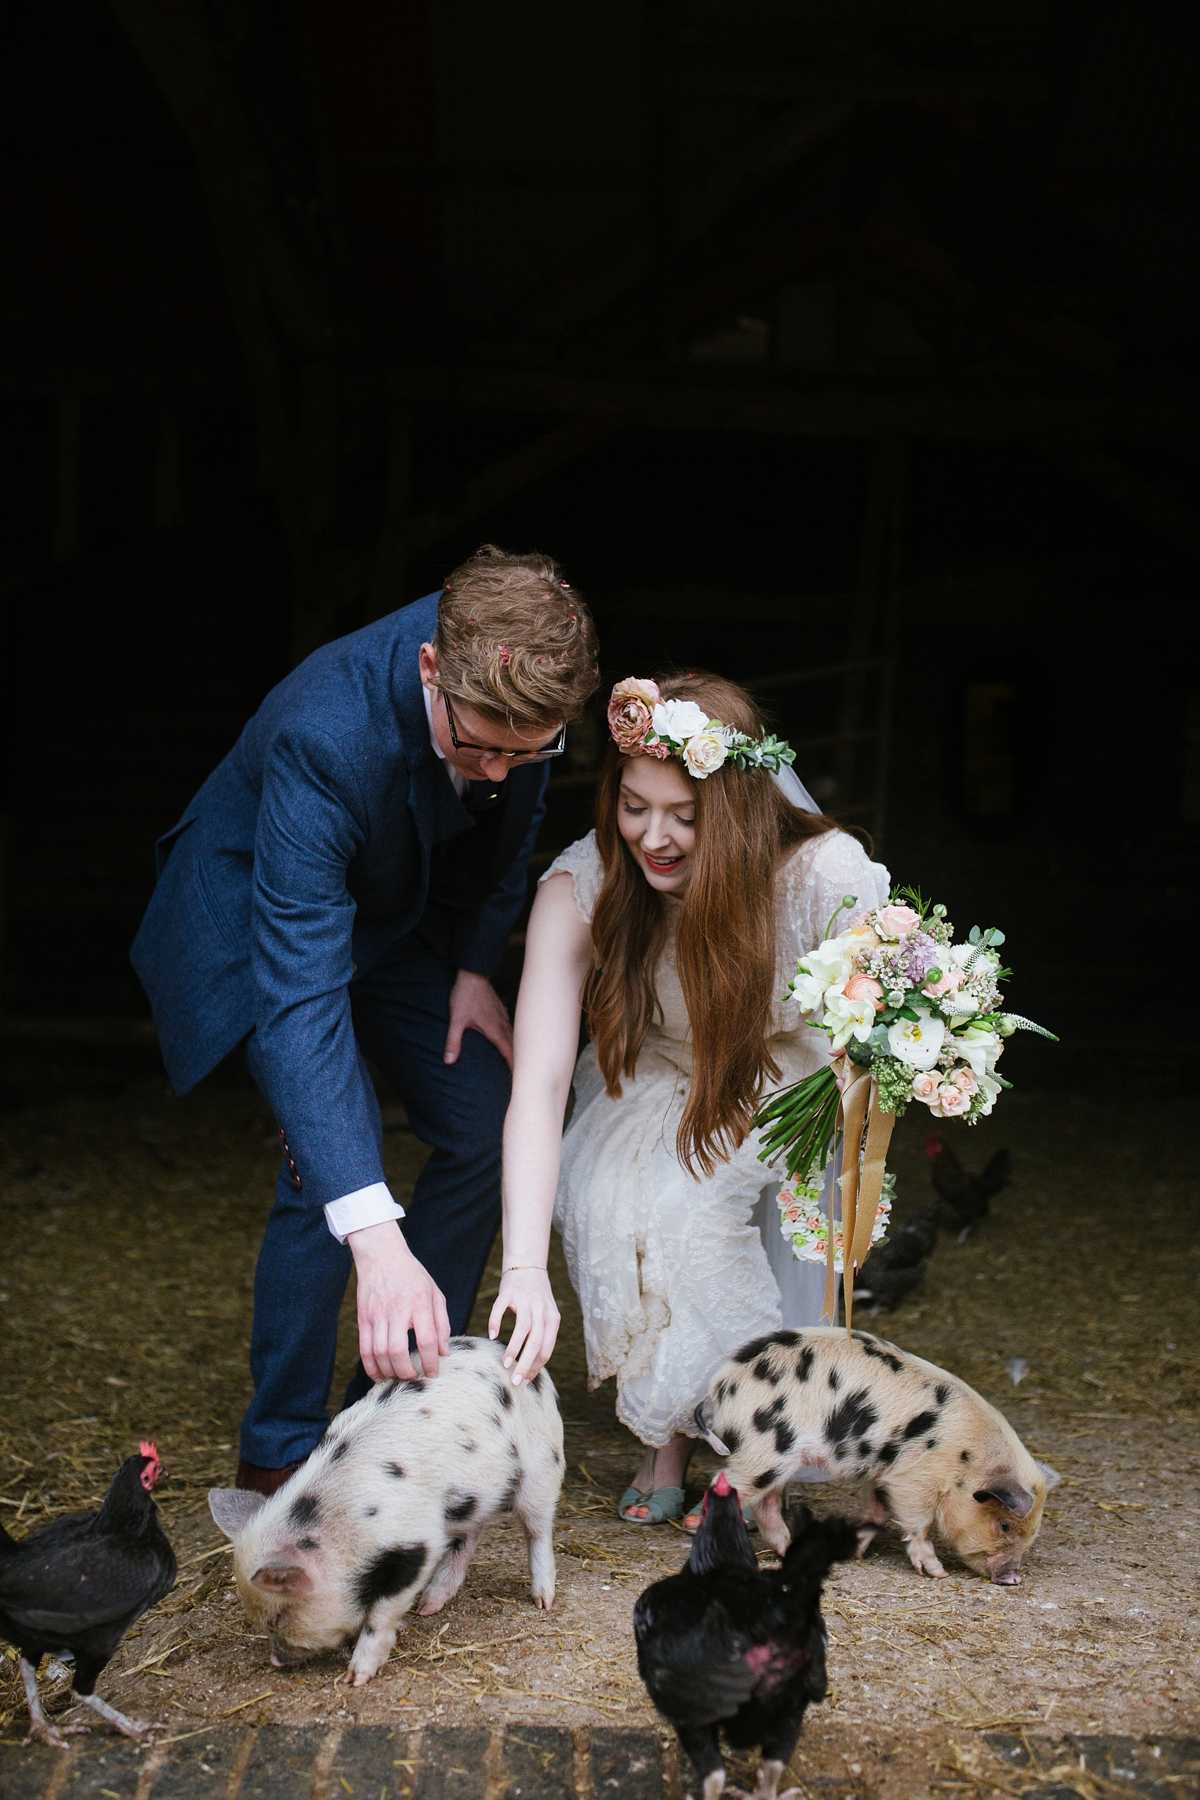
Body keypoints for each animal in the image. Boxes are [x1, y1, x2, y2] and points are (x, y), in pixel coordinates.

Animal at [207, 1332, 564, 1677]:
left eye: (279, 1617)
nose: (276, 1661)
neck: (340, 1524)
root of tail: (506, 1351)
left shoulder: (416, 1544)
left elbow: (383, 1612)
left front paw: (356, 1677)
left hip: (542, 1467)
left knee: (538, 1530)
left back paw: (542, 1602)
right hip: (472, 1493)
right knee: (472, 1534)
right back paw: (429, 1606)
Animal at [694, 1324, 1057, 1591]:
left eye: (1033, 1531)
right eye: (1004, 1524)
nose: (1013, 1578)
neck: (965, 1461)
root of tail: (719, 1388)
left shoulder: (884, 1474)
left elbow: (878, 1512)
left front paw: (856, 1552)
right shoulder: (914, 1479)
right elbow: (918, 1524)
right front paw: (938, 1573)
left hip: (776, 1458)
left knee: (766, 1502)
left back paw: (787, 1550)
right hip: (766, 1451)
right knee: (726, 1485)